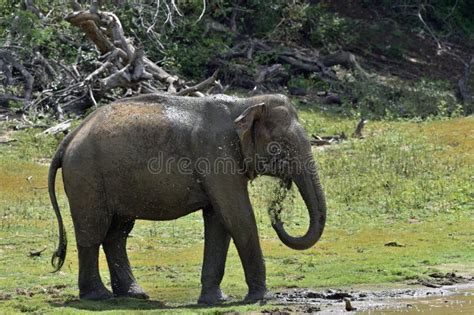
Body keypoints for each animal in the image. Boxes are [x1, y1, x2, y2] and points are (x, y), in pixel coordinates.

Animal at [50, 92, 328, 304]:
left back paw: (134, 295)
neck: (244, 104)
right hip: (87, 175)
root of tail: (69, 138)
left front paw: (216, 301)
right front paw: (261, 298)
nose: (276, 214)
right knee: (93, 230)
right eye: (279, 147)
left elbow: (219, 221)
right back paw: (99, 297)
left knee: (117, 233)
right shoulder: (216, 154)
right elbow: (238, 216)